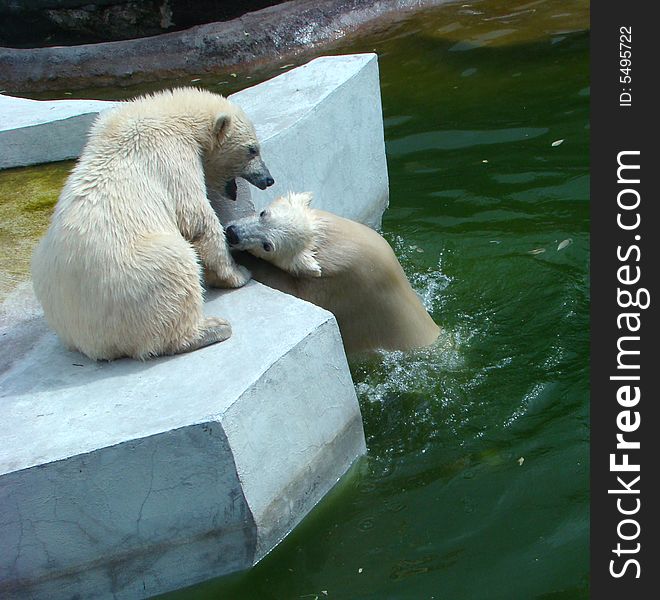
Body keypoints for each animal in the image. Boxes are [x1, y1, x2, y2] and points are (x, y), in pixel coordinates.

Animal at [30, 86, 274, 358]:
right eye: (253, 150)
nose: (268, 179)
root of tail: (91, 344)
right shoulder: (172, 156)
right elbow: (197, 220)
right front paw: (237, 273)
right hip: (136, 274)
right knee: (175, 266)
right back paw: (212, 328)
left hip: (42, 266)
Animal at [224, 192, 440, 354]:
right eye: (263, 213)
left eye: (268, 246)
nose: (233, 233)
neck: (334, 244)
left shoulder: (338, 287)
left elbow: (292, 288)